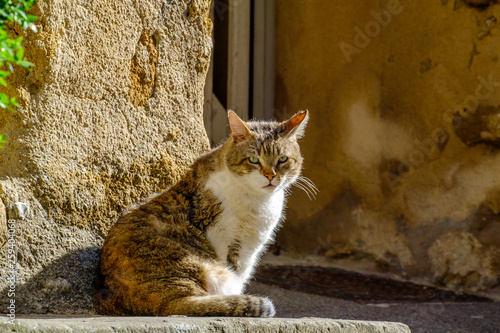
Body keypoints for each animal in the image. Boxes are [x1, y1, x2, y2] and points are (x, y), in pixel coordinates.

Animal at [94, 109, 312, 316]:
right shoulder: (225, 237)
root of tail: (164, 306)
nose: (270, 176)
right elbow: (237, 273)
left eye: (282, 159)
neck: (259, 201)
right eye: (253, 160)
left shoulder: (251, 246)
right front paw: (238, 299)